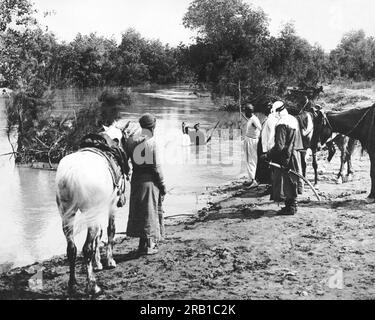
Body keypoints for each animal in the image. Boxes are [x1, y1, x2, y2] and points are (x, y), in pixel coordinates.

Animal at [55, 123, 127, 296]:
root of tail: (73, 172)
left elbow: (98, 236)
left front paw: (97, 263)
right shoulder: (111, 205)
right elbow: (110, 231)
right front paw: (109, 261)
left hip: (67, 215)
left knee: (72, 249)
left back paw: (72, 284)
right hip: (90, 213)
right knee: (86, 248)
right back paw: (93, 286)